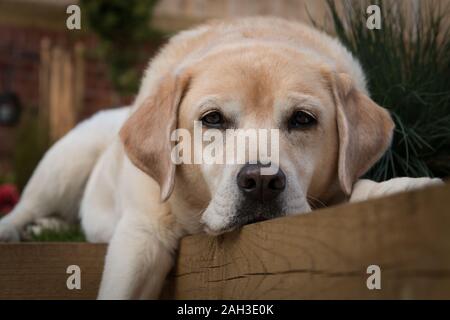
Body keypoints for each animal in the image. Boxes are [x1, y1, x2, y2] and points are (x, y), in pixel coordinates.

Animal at [0, 17, 442, 298]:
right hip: (65, 162)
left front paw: (403, 187)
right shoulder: (141, 234)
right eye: (212, 118)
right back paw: (18, 228)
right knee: (25, 205)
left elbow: (358, 186)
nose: (261, 182)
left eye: (302, 119)